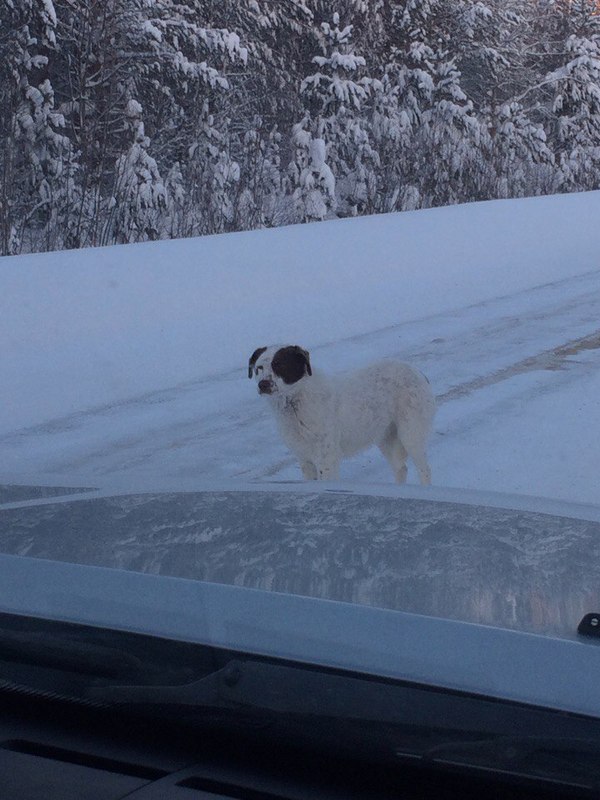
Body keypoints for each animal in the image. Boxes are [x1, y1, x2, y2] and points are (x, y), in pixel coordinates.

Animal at [250, 342, 436, 482]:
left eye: (279, 365)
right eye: (259, 368)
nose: (263, 385)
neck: (294, 402)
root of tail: (417, 371)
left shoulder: (327, 458)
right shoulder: (304, 459)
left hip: (410, 434)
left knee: (425, 470)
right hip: (386, 437)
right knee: (401, 469)